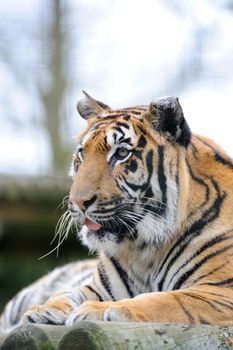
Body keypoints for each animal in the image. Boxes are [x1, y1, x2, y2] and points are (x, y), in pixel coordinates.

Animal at [1, 89, 233, 330]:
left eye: (121, 153)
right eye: (82, 154)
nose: (77, 202)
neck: (145, 250)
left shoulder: (219, 291)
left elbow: (161, 299)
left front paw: (97, 309)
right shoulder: (96, 287)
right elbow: (66, 292)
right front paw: (42, 310)